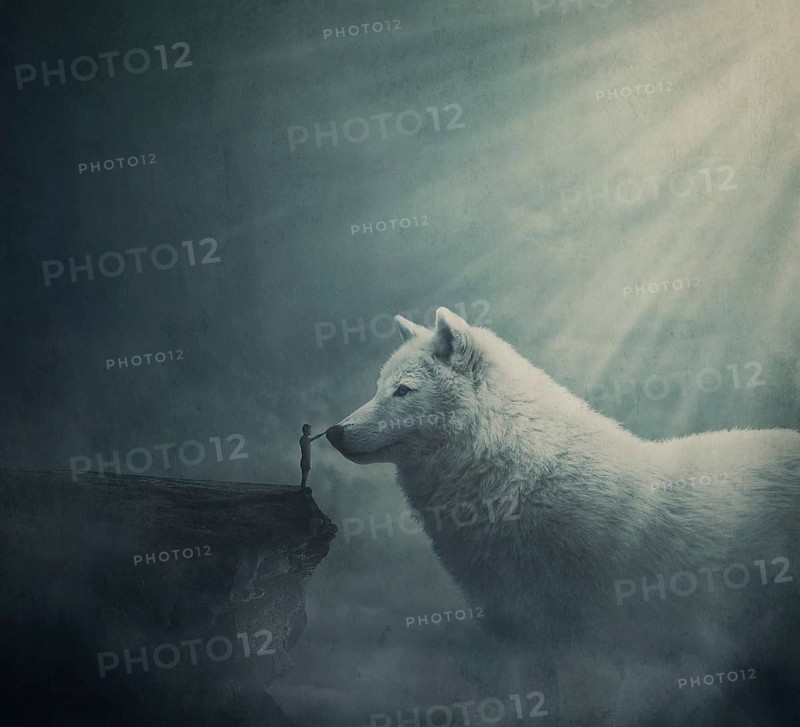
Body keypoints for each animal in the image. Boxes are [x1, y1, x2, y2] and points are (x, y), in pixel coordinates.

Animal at [327, 307, 800, 722]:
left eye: (402, 391)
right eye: (378, 388)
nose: (333, 432)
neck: (519, 479)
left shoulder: (584, 649)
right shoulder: (522, 643)